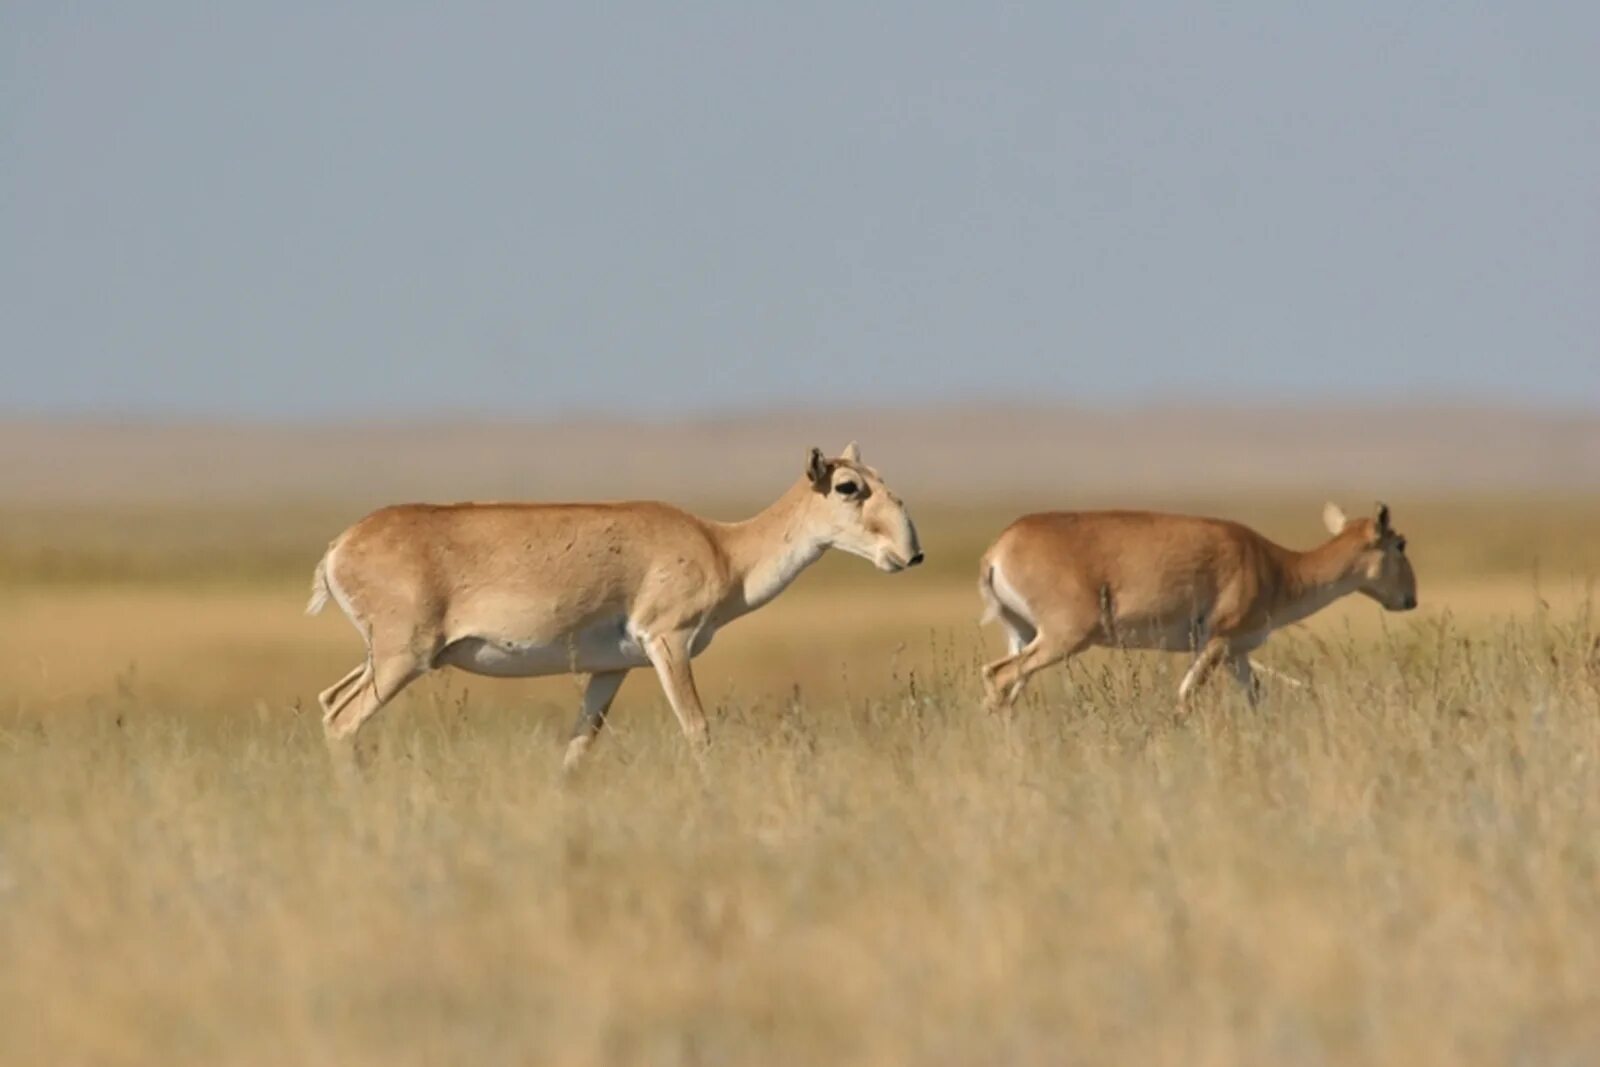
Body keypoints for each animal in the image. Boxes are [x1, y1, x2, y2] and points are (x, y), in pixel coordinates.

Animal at [304, 447, 921, 771]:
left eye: (882, 478)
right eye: (848, 486)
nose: (911, 553)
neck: (723, 547)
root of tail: (338, 546)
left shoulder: (611, 668)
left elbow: (577, 749)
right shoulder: (668, 641)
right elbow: (698, 729)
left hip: (384, 657)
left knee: (329, 700)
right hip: (402, 659)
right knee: (341, 719)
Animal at [979, 502, 1420, 716]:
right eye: (1400, 543)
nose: (1410, 599)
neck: (1274, 564)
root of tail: (1000, 548)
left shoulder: (1237, 654)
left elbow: (1256, 698)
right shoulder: (1215, 642)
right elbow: (1184, 697)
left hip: (1022, 634)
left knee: (1004, 684)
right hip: (1063, 638)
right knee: (999, 675)